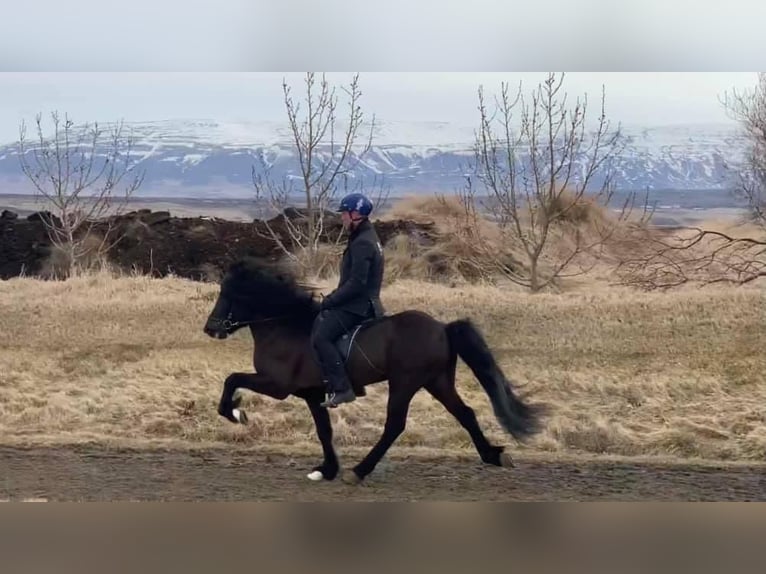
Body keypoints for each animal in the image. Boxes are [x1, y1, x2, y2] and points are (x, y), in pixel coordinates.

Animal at [202, 257, 544, 484]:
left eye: (228, 295)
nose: (210, 329)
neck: (285, 326)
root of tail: (443, 328)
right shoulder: (313, 394)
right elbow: (324, 431)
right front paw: (326, 469)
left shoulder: (277, 385)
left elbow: (231, 379)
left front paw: (236, 413)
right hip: (437, 381)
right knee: (465, 414)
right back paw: (493, 455)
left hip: (405, 382)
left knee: (395, 425)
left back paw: (360, 471)